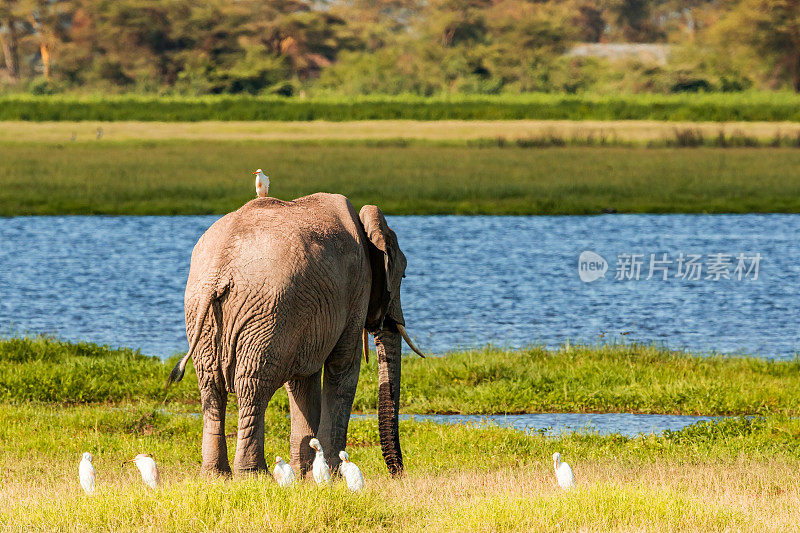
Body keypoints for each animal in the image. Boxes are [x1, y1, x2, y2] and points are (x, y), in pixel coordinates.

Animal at [167, 193, 424, 476]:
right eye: (403, 274)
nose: (398, 472)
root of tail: (219, 273)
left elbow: (303, 382)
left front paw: (307, 474)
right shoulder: (356, 288)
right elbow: (342, 368)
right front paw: (333, 473)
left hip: (207, 313)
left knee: (211, 387)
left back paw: (217, 476)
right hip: (267, 314)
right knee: (252, 387)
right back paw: (254, 474)